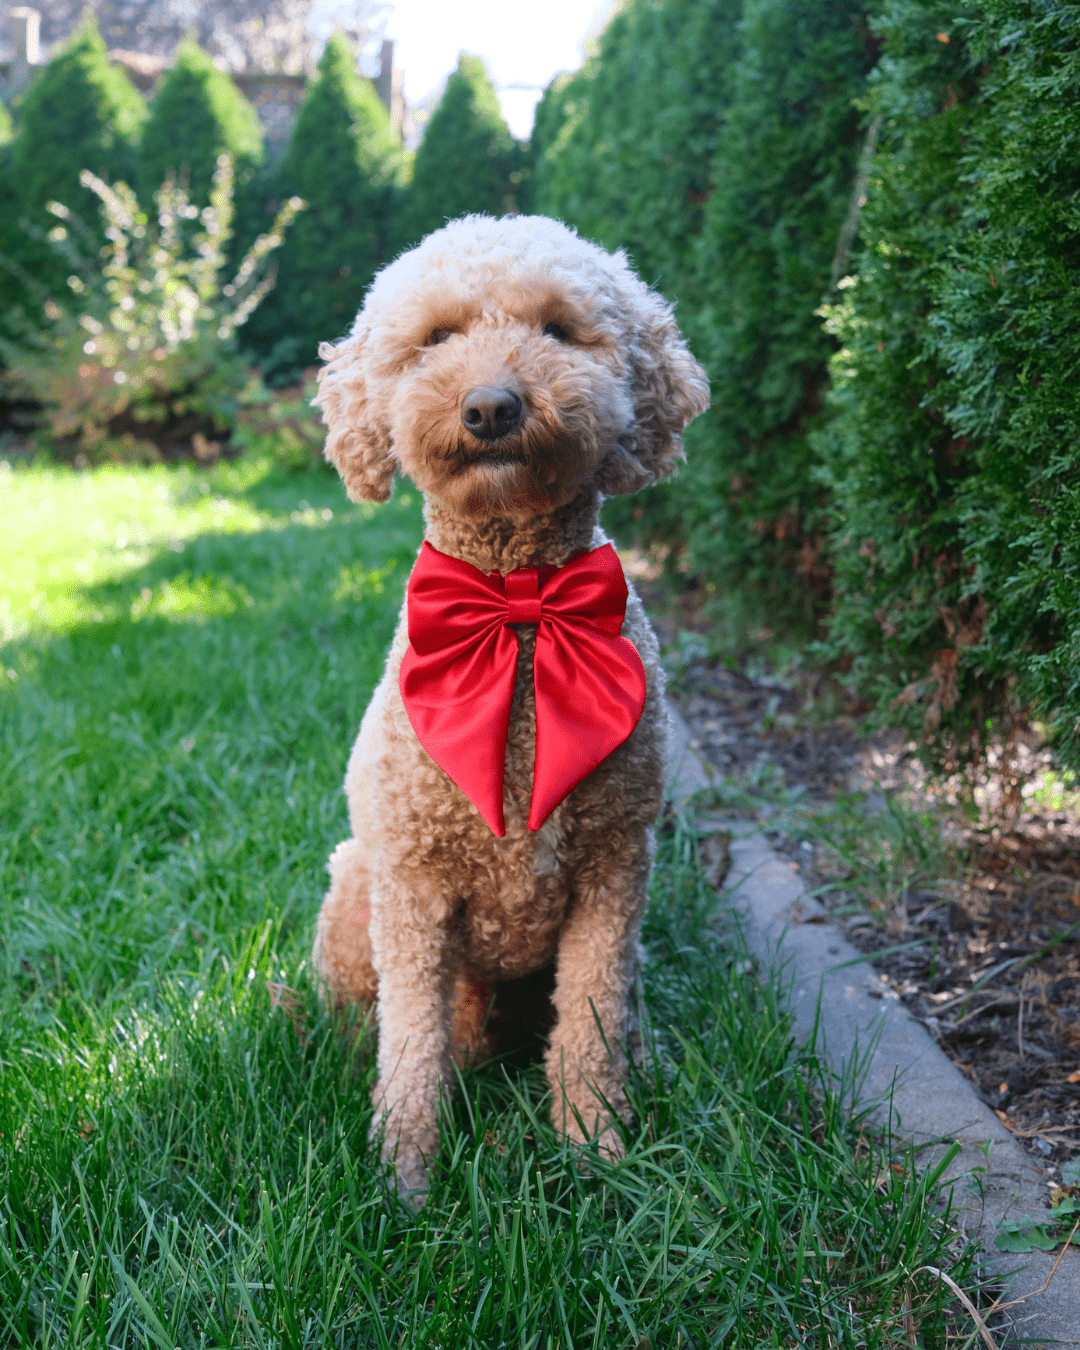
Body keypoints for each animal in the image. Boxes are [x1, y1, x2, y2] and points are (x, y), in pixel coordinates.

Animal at [307, 210, 707, 1193]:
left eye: (559, 329)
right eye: (436, 337)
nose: (491, 407)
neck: (519, 609)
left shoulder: (614, 871)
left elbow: (591, 1022)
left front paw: (596, 1148)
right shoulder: (414, 891)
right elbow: (412, 1040)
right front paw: (404, 1174)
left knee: (616, 1007)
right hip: (355, 884)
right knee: (374, 1017)